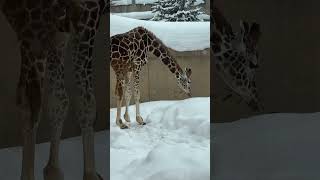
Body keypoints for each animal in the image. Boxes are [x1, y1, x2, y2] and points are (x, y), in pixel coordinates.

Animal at [0, 0, 107, 180]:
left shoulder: (61, 25)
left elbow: (62, 100)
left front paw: (54, 171)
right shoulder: (33, 24)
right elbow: (33, 105)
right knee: (31, 101)